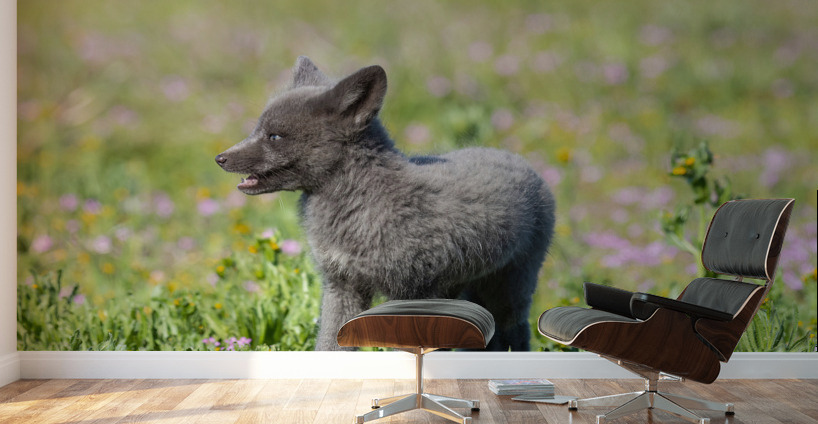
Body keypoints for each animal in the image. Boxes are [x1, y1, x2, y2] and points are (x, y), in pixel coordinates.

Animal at [216, 57, 555, 351]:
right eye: (257, 129)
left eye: (274, 137)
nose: (220, 158)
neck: (364, 204)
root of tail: (515, 158)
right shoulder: (342, 286)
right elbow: (329, 346)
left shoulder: (409, 294)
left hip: (508, 291)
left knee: (516, 334)